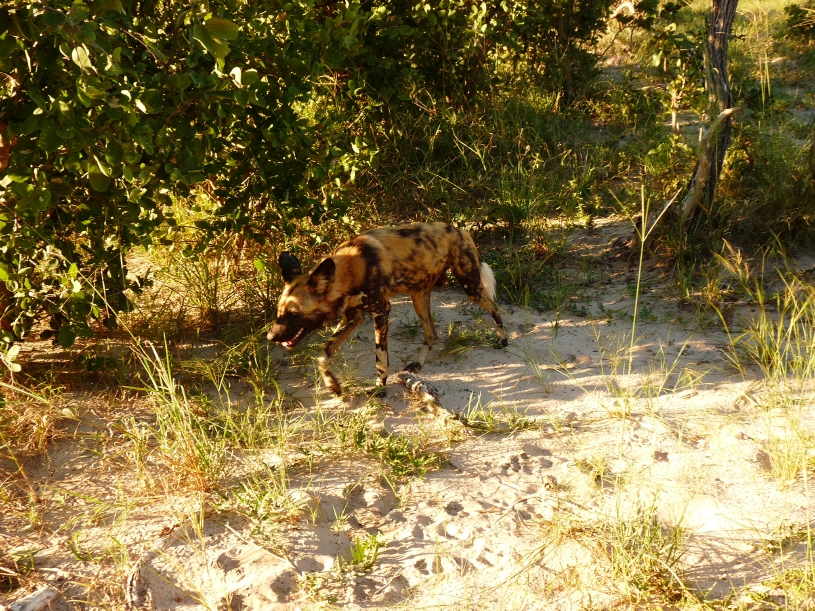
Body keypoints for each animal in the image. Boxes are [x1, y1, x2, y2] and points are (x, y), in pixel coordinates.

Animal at [267, 222, 507, 395]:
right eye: (279, 312)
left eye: (293, 314)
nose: (270, 337)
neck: (349, 270)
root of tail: (460, 229)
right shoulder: (353, 318)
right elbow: (323, 355)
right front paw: (333, 384)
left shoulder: (381, 313)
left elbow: (380, 359)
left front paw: (380, 388)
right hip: (418, 297)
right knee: (431, 334)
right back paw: (417, 364)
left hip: (470, 287)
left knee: (494, 306)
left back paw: (502, 339)